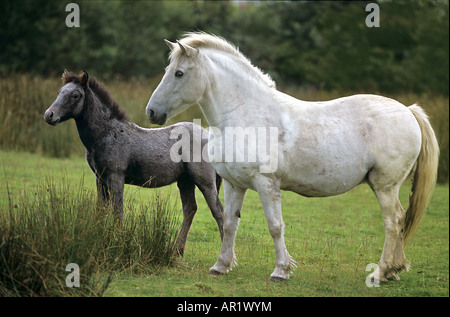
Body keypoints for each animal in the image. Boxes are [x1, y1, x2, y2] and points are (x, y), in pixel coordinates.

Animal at [44, 69, 223, 254]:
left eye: (75, 95)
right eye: (59, 92)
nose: (49, 115)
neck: (106, 134)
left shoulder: (116, 176)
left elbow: (117, 210)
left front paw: (118, 245)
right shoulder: (100, 177)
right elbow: (101, 210)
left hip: (205, 181)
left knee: (218, 211)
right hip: (185, 180)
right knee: (190, 209)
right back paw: (177, 251)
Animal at [145, 32, 440, 282]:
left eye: (179, 73)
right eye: (168, 71)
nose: (152, 112)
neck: (245, 114)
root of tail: (408, 110)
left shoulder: (266, 184)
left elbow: (275, 226)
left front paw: (281, 271)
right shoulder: (233, 184)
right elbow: (229, 223)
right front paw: (221, 266)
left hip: (385, 186)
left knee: (393, 222)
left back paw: (380, 273)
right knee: (400, 220)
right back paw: (394, 271)